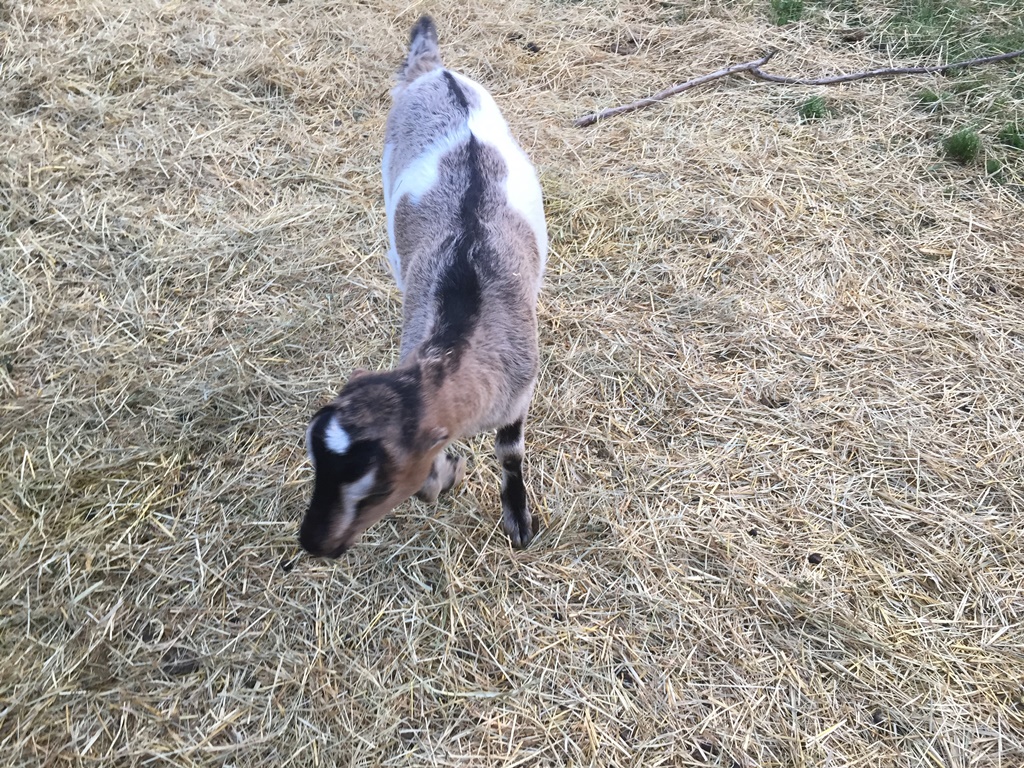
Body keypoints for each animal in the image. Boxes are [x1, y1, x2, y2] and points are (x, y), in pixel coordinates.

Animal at [299, 16, 548, 561]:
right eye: (313, 461)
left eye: (377, 487)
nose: (312, 543)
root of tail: (434, 72)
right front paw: (448, 475)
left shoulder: (519, 392)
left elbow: (510, 453)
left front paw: (517, 519)